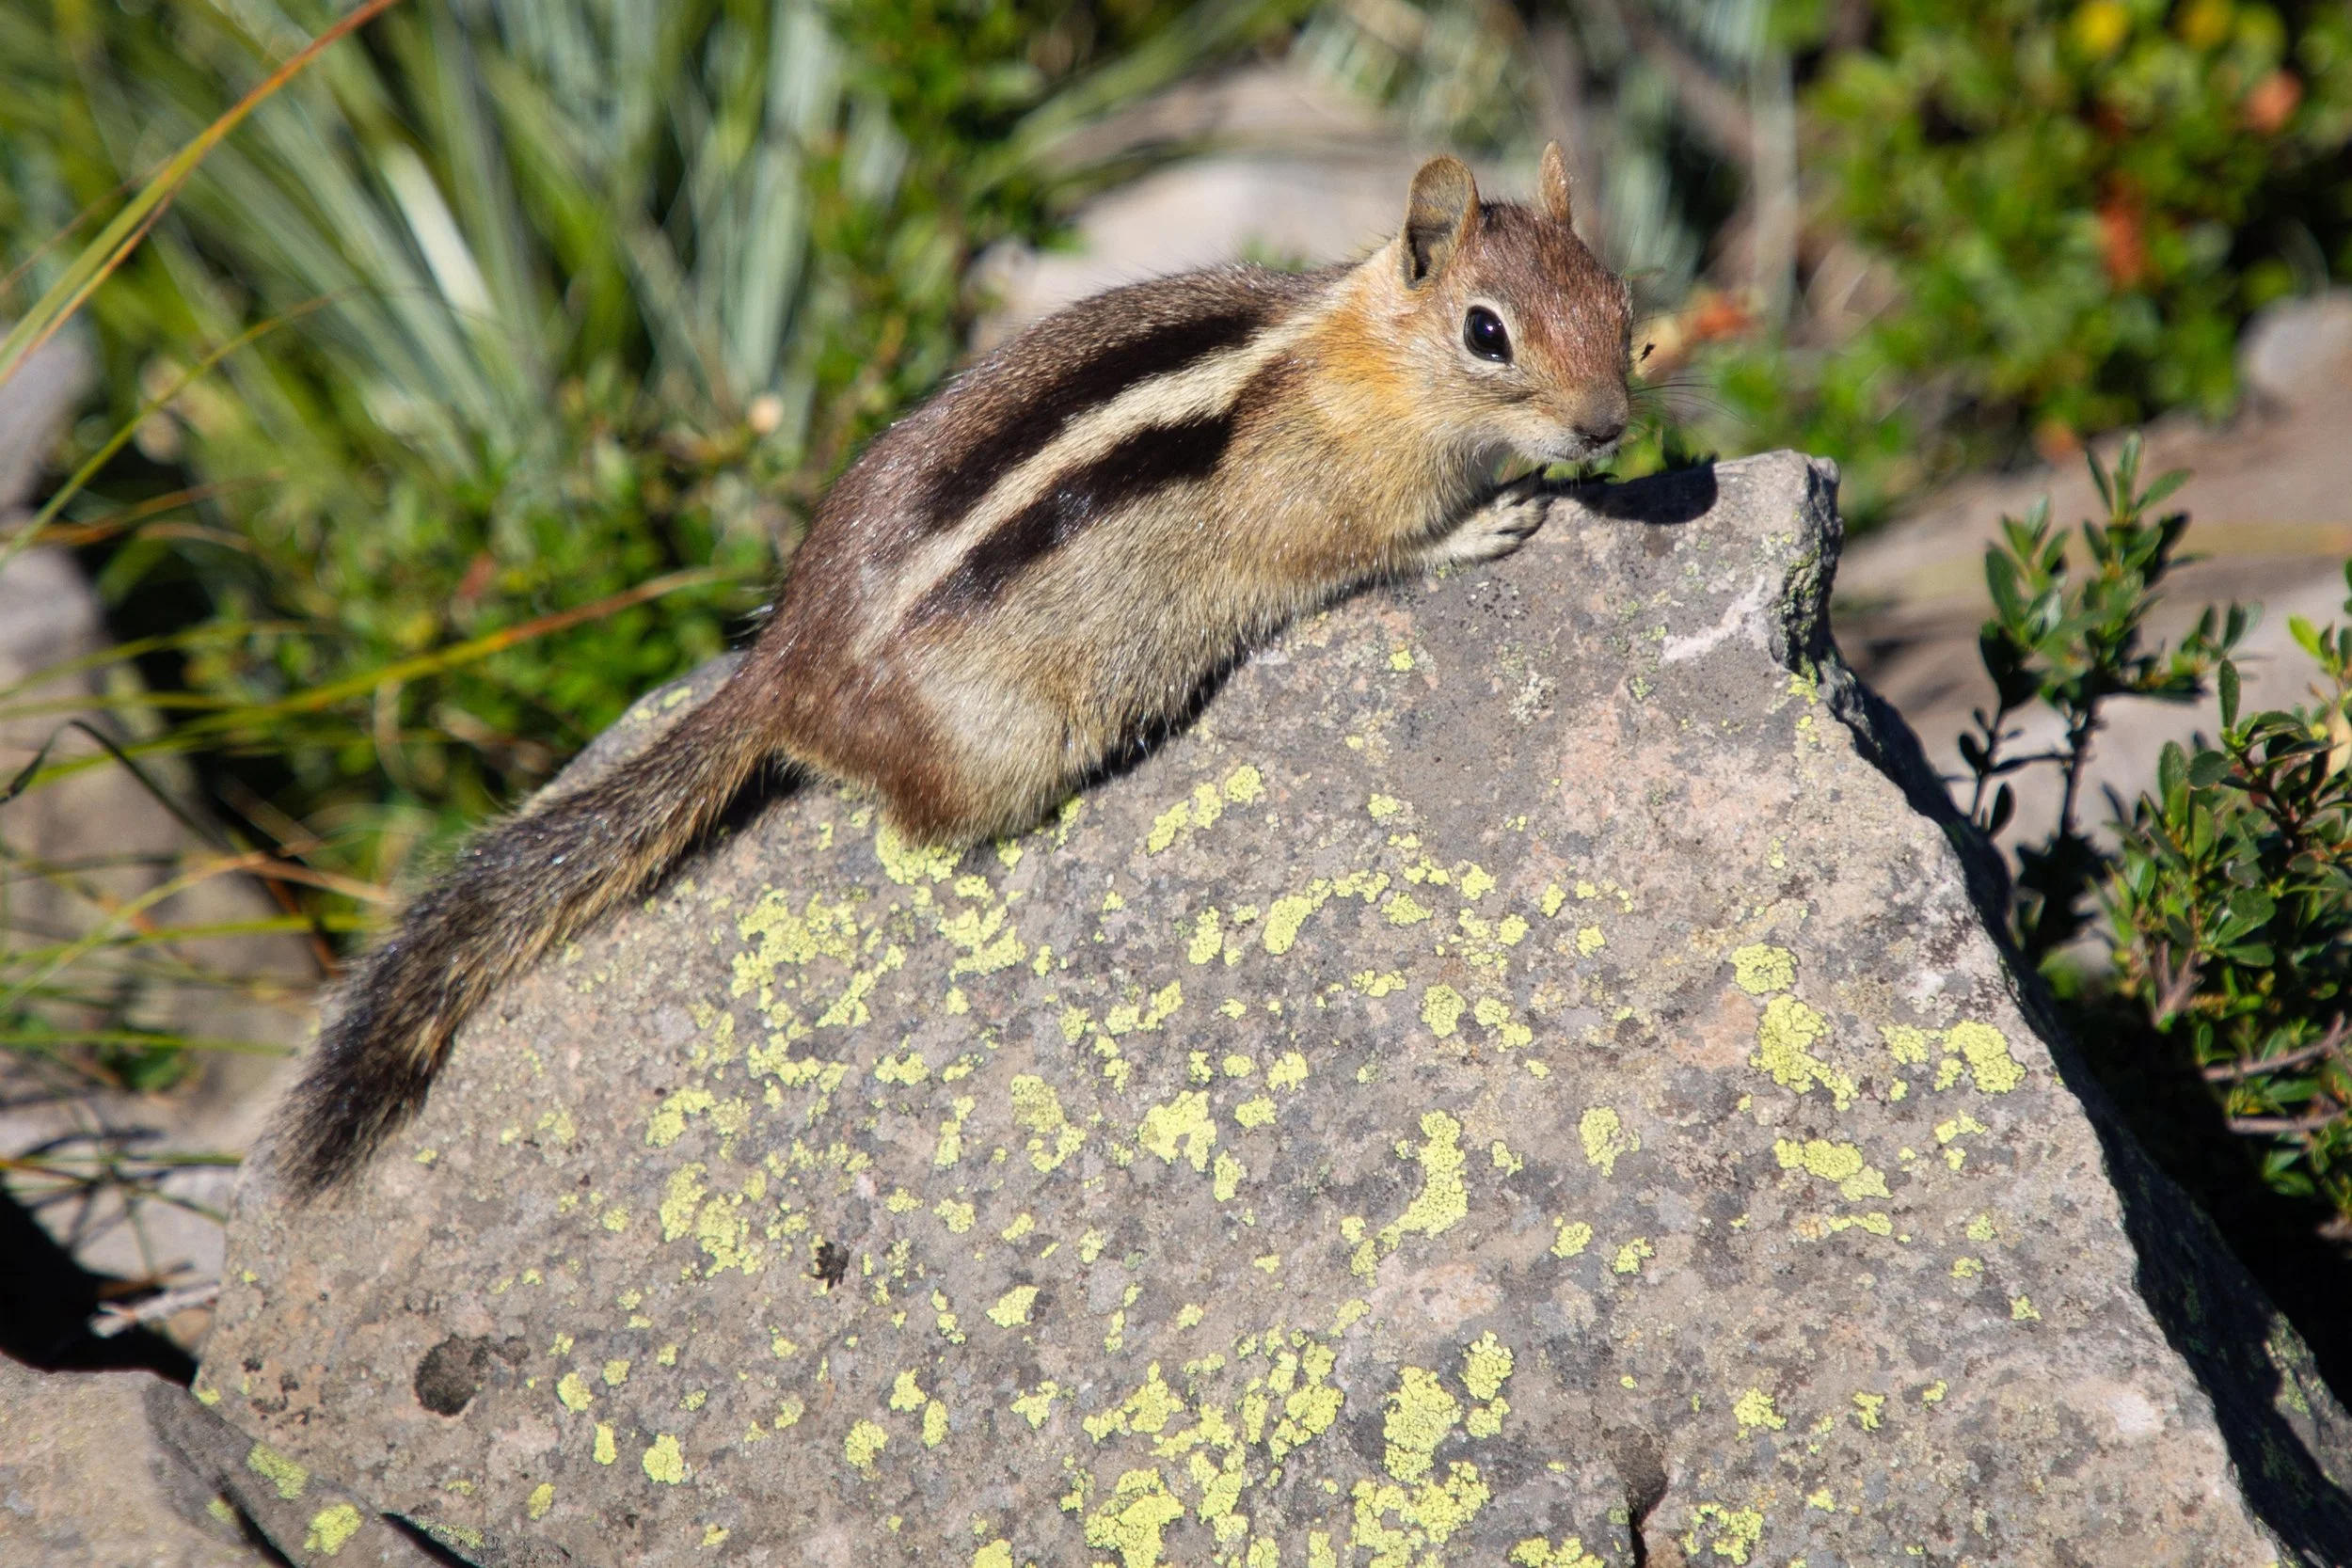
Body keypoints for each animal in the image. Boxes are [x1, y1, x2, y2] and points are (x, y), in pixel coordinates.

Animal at [273, 144, 1634, 1196]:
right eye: (1487, 333)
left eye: (1621, 301)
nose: (1610, 425)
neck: (1367, 361)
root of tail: (780, 667)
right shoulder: (1328, 504)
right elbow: (1374, 549)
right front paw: (1491, 518)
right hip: (1000, 747)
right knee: (915, 831)